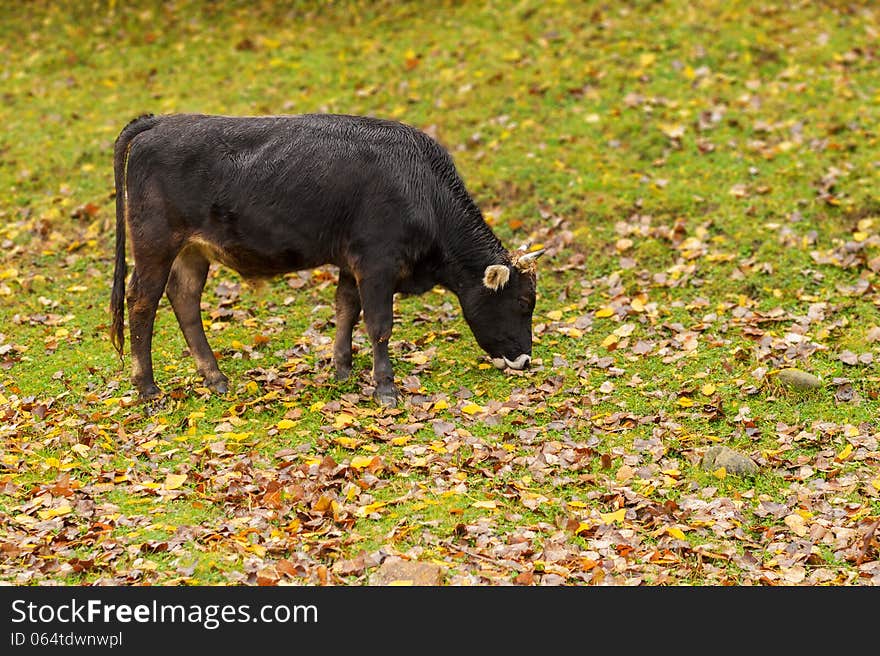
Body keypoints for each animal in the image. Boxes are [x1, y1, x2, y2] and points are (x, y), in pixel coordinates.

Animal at [106, 115, 540, 408]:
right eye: (523, 302)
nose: (524, 359)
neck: (421, 188)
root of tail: (161, 121)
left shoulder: (352, 261)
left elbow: (346, 309)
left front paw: (342, 368)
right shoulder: (377, 261)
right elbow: (379, 325)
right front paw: (385, 388)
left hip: (193, 251)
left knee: (184, 300)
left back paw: (214, 377)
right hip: (155, 243)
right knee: (142, 302)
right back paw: (148, 387)